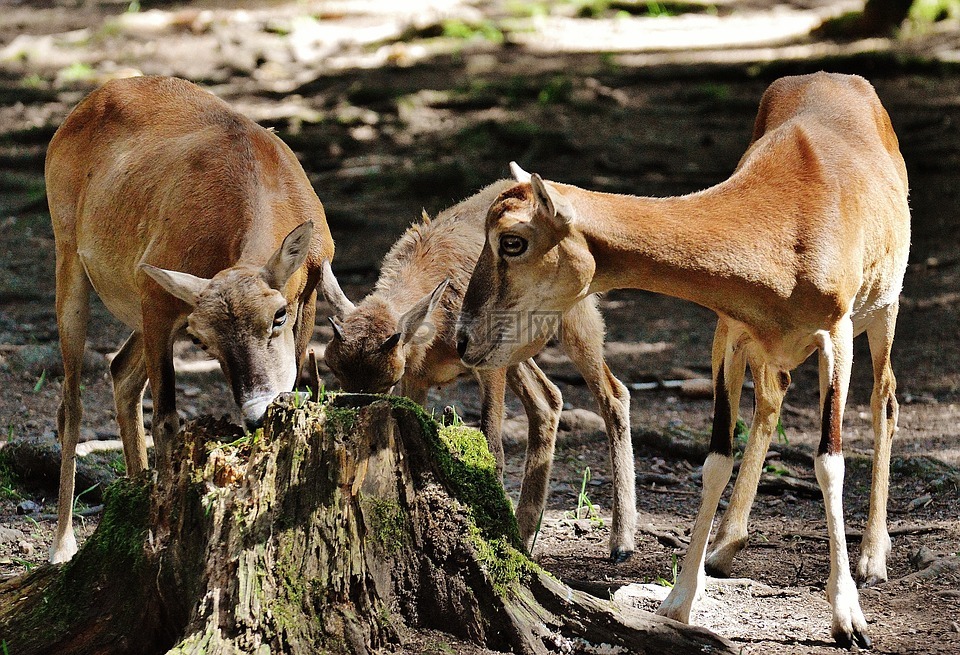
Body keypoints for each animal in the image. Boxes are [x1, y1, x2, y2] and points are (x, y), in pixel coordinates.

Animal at [44, 77, 334, 568]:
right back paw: (64, 545)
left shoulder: (309, 292)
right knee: (72, 402)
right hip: (69, 256)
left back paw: (135, 488)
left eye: (278, 315)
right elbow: (166, 419)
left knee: (120, 371)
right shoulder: (156, 295)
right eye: (203, 342)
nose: (256, 412)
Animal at [320, 179, 636, 560]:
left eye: (387, 378)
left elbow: (492, 447)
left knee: (613, 393)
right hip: (516, 350)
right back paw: (524, 535)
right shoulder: (418, 377)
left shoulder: (482, 365)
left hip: (576, 319)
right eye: (334, 369)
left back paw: (621, 542)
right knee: (548, 398)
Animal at [456, 72, 908, 644]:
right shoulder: (729, 332)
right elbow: (715, 459)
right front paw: (676, 604)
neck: (788, 232)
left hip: (885, 310)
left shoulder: (837, 333)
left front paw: (848, 617)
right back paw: (726, 545)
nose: (463, 340)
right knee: (774, 397)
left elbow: (829, 462)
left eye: (512, 241)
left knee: (885, 400)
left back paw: (873, 556)